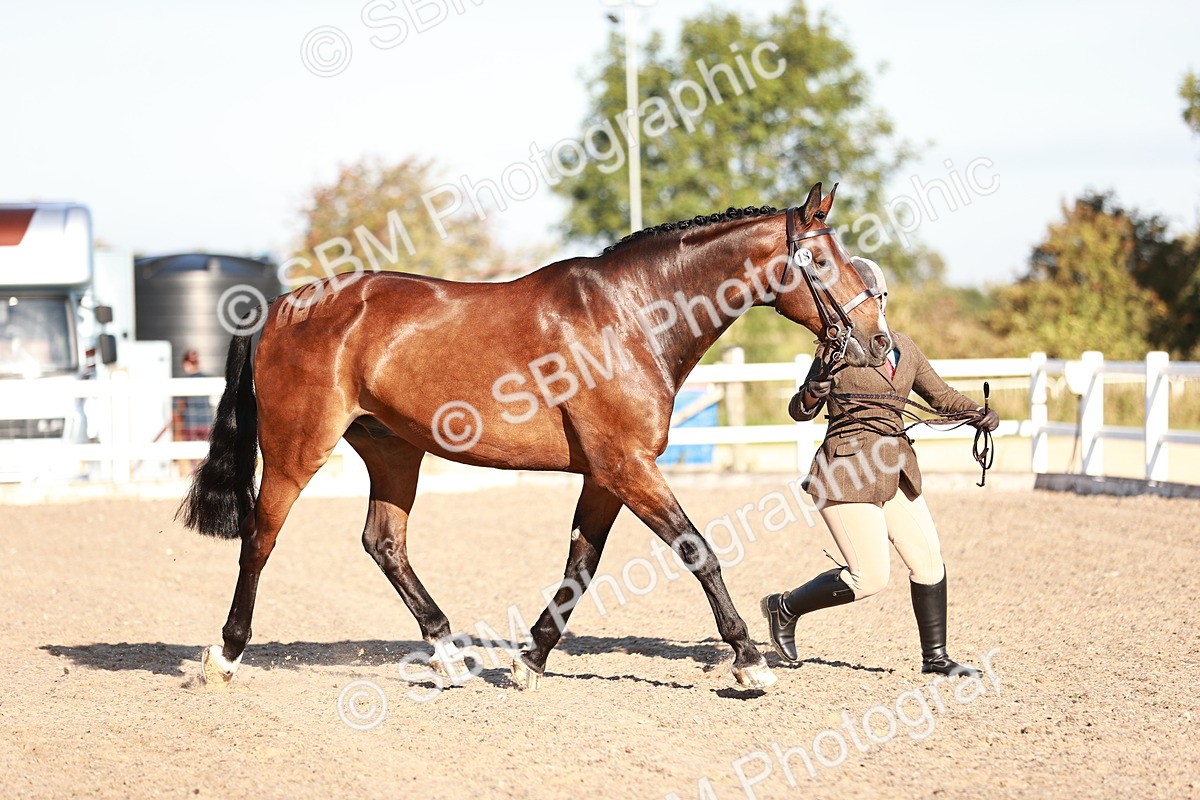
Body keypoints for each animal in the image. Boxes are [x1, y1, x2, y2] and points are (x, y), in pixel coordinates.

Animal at [179, 182, 893, 691]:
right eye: (820, 260)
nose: (878, 341)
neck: (632, 314)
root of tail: (278, 308)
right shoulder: (629, 466)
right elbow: (698, 551)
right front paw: (749, 660)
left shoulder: (607, 474)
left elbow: (582, 565)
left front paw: (531, 659)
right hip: (297, 451)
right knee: (260, 537)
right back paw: (226, 655)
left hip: (393, 449)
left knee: (383, 543)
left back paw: (448, 654)